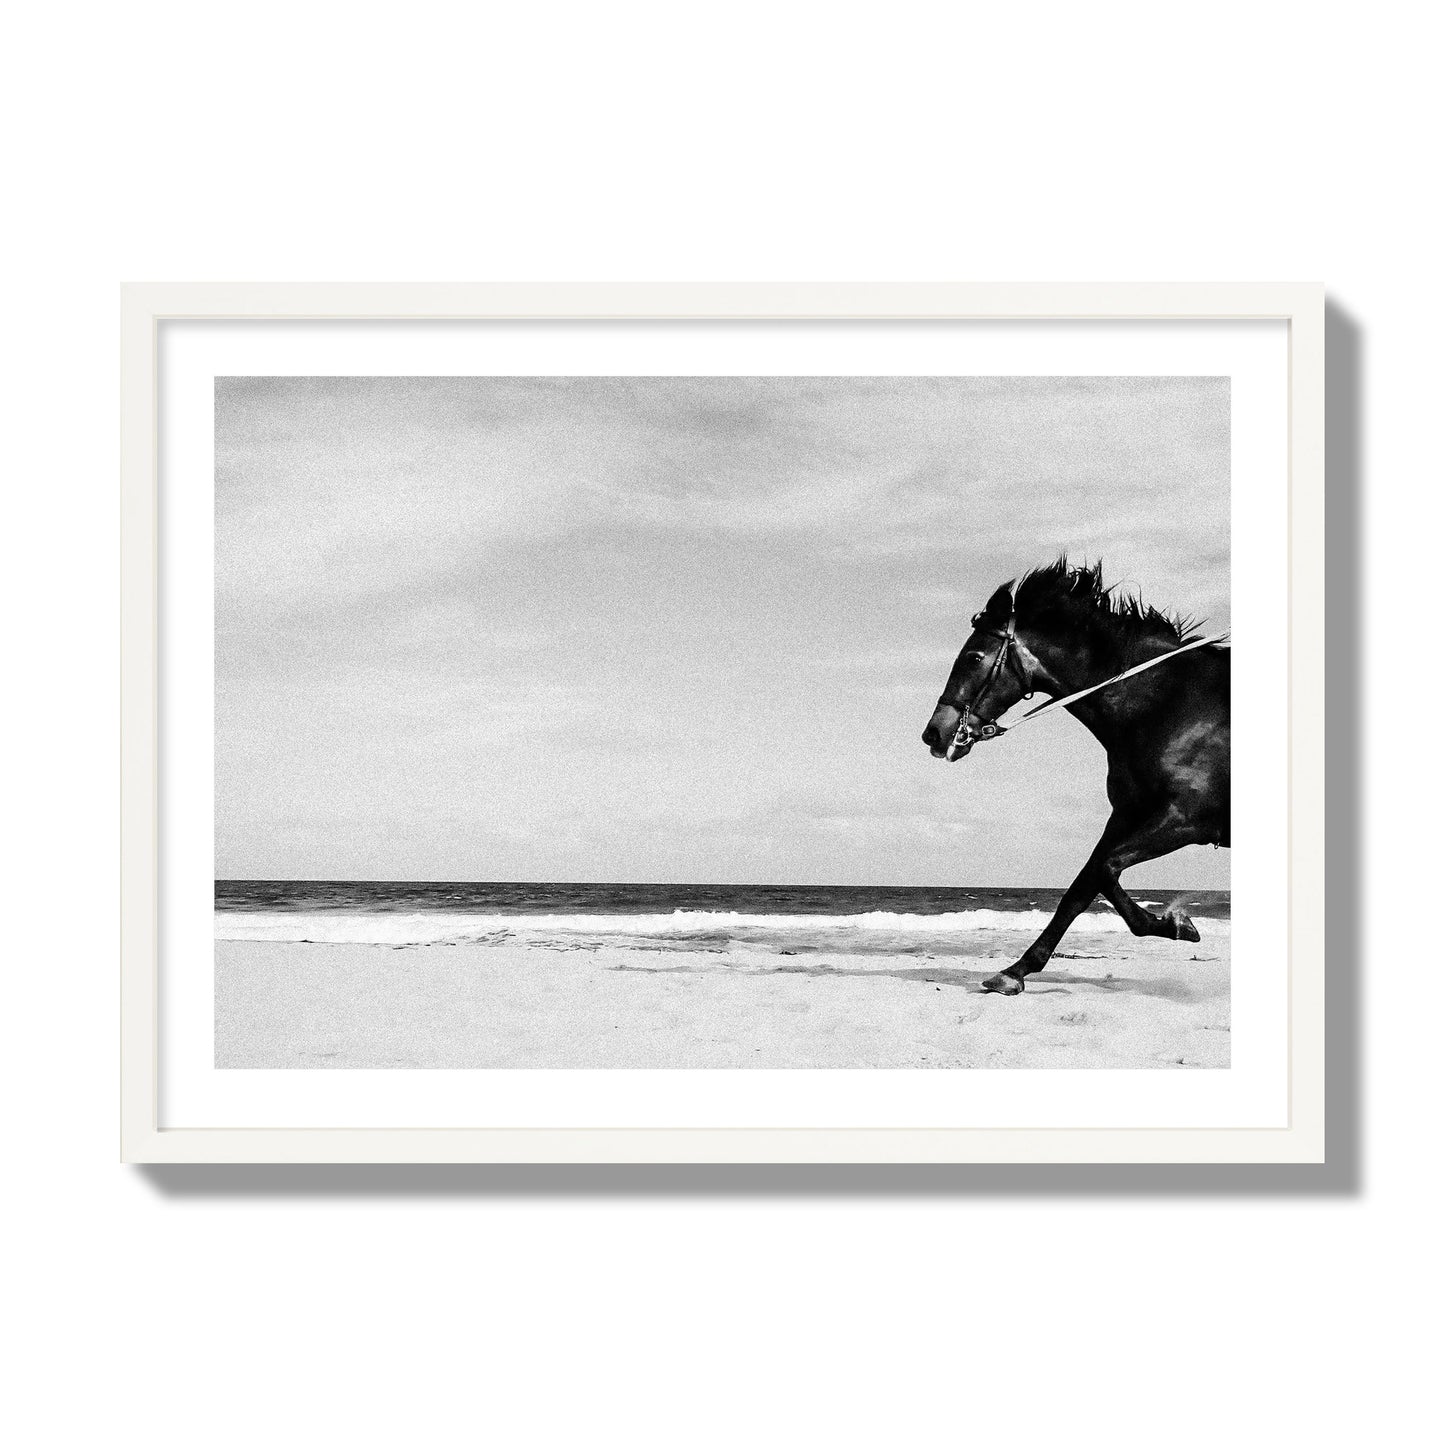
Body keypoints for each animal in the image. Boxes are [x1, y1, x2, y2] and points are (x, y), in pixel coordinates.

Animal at [920, 559, 1230, 995]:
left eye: (974, 656)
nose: (935, 733)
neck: (1170, 705)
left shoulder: (1186, 820)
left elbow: (1103, 871)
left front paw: (1176, 922)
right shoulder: (1127, 815)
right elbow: (1084, 885)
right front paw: (1015, 970)